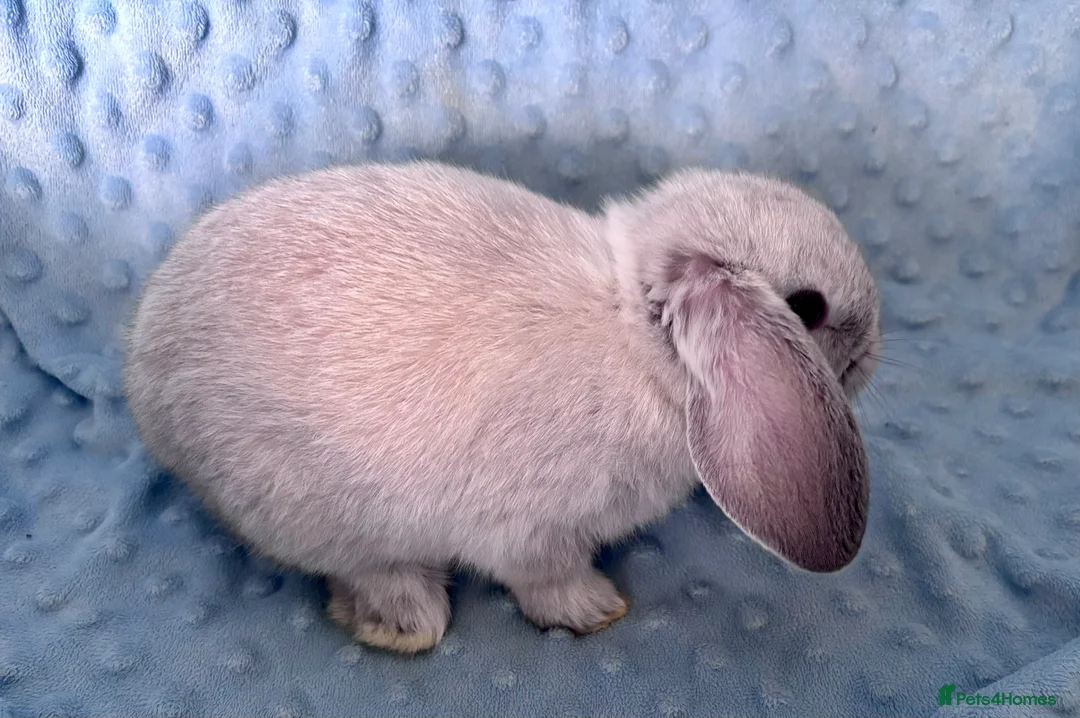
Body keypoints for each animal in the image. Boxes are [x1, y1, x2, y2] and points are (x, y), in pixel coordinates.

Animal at [123, 160, 880, 654]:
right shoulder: (535, 533)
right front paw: (598, 612)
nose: (874, 349)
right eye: (807, 307)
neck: (633, 336)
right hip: (310, 508)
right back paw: (399, 627)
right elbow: (544, 582)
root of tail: (145, 366)